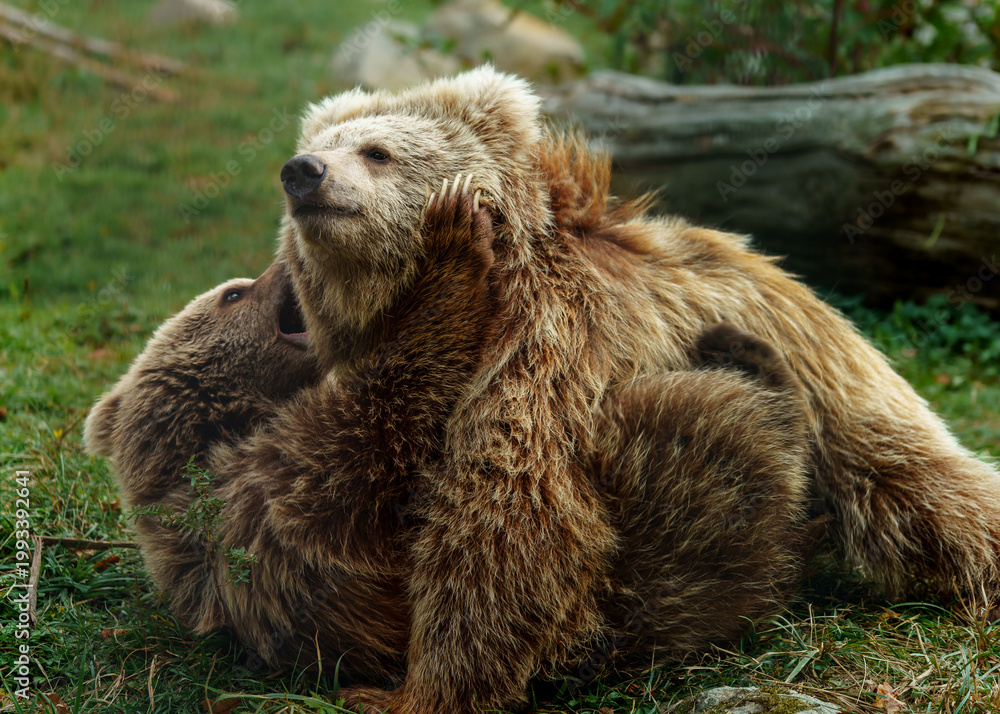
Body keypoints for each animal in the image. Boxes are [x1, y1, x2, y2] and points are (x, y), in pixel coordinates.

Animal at [271, 65, 1000, 712]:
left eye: (377, 150)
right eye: (324, 143)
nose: (303, 171)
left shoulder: (547, 342)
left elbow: (514, 512)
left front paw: (412, 691)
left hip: (827, 382)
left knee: (917, 480)